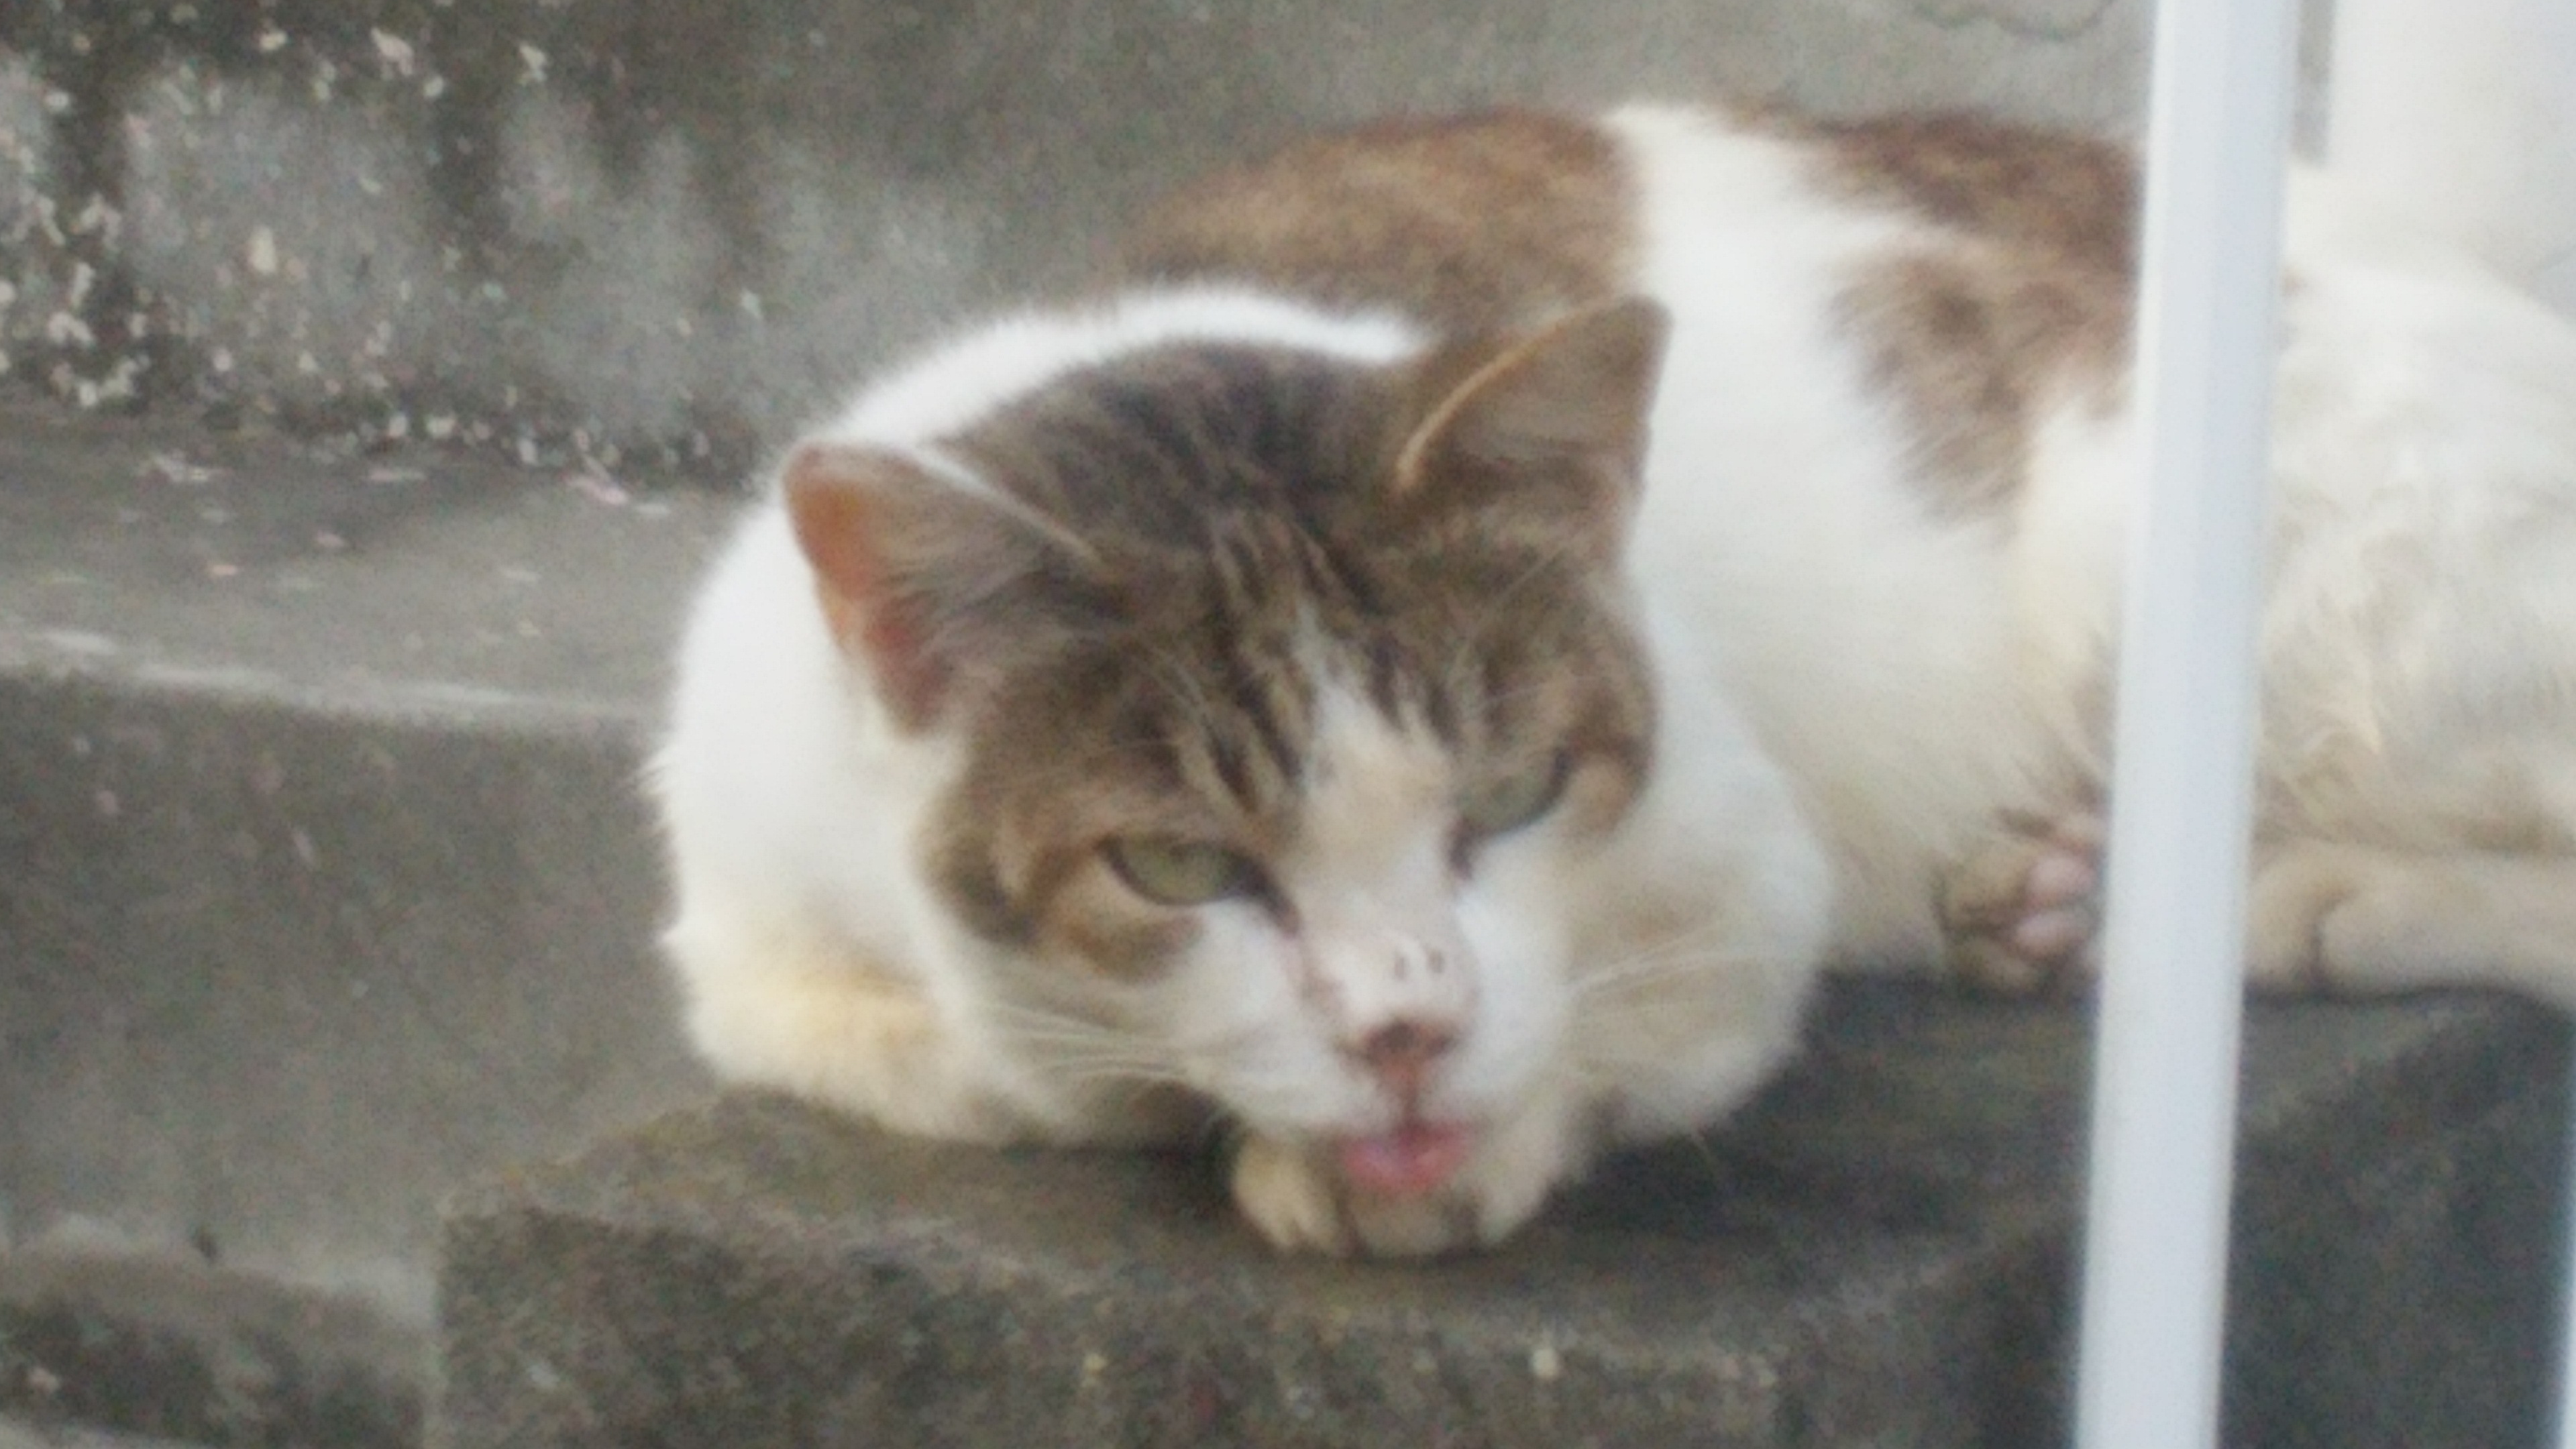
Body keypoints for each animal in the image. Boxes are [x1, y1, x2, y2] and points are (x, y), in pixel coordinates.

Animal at [649, 101, 2576, 1257]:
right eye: (1181, 864)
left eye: (1508, 796)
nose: (1407, 1032)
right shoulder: (744, 933)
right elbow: (976, 1070)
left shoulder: (1748, 870)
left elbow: (1623, 1021)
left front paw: (1440, 1145)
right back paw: (2049, 900)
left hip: (2208, 574)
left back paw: (2286, 899)